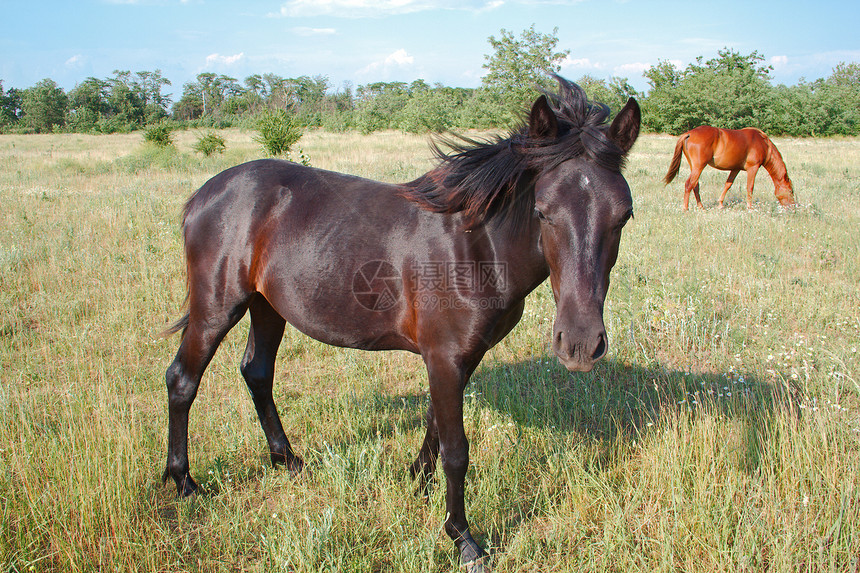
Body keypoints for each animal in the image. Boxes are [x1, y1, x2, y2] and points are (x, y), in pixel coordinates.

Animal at [165, 77, 640, 572]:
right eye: (543, 211)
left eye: (623, 215)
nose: (580, 344)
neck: (475, 248)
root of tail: (206, 193)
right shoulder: (445, 356)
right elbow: (457, 450)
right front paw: (463, 538)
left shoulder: (457, 356)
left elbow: (434, 424)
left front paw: (417, 482)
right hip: (217, 307)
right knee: (182, 380)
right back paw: (184, 482)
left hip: (266, 306)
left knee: (257, 373)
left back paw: (287, 460)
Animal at [664, 125, 792, 210]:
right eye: (791, 191)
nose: (792, 207)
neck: (763, 143)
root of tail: (689, 134)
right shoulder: (753, 168)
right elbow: (750, 187)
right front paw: (750, 208)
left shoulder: (736, 169)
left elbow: (728, 185)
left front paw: (720, 204)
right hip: (699, 166)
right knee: (689, 184)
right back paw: (685, 209)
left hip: (694, 167)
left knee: (695, 185)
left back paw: (701, 207)